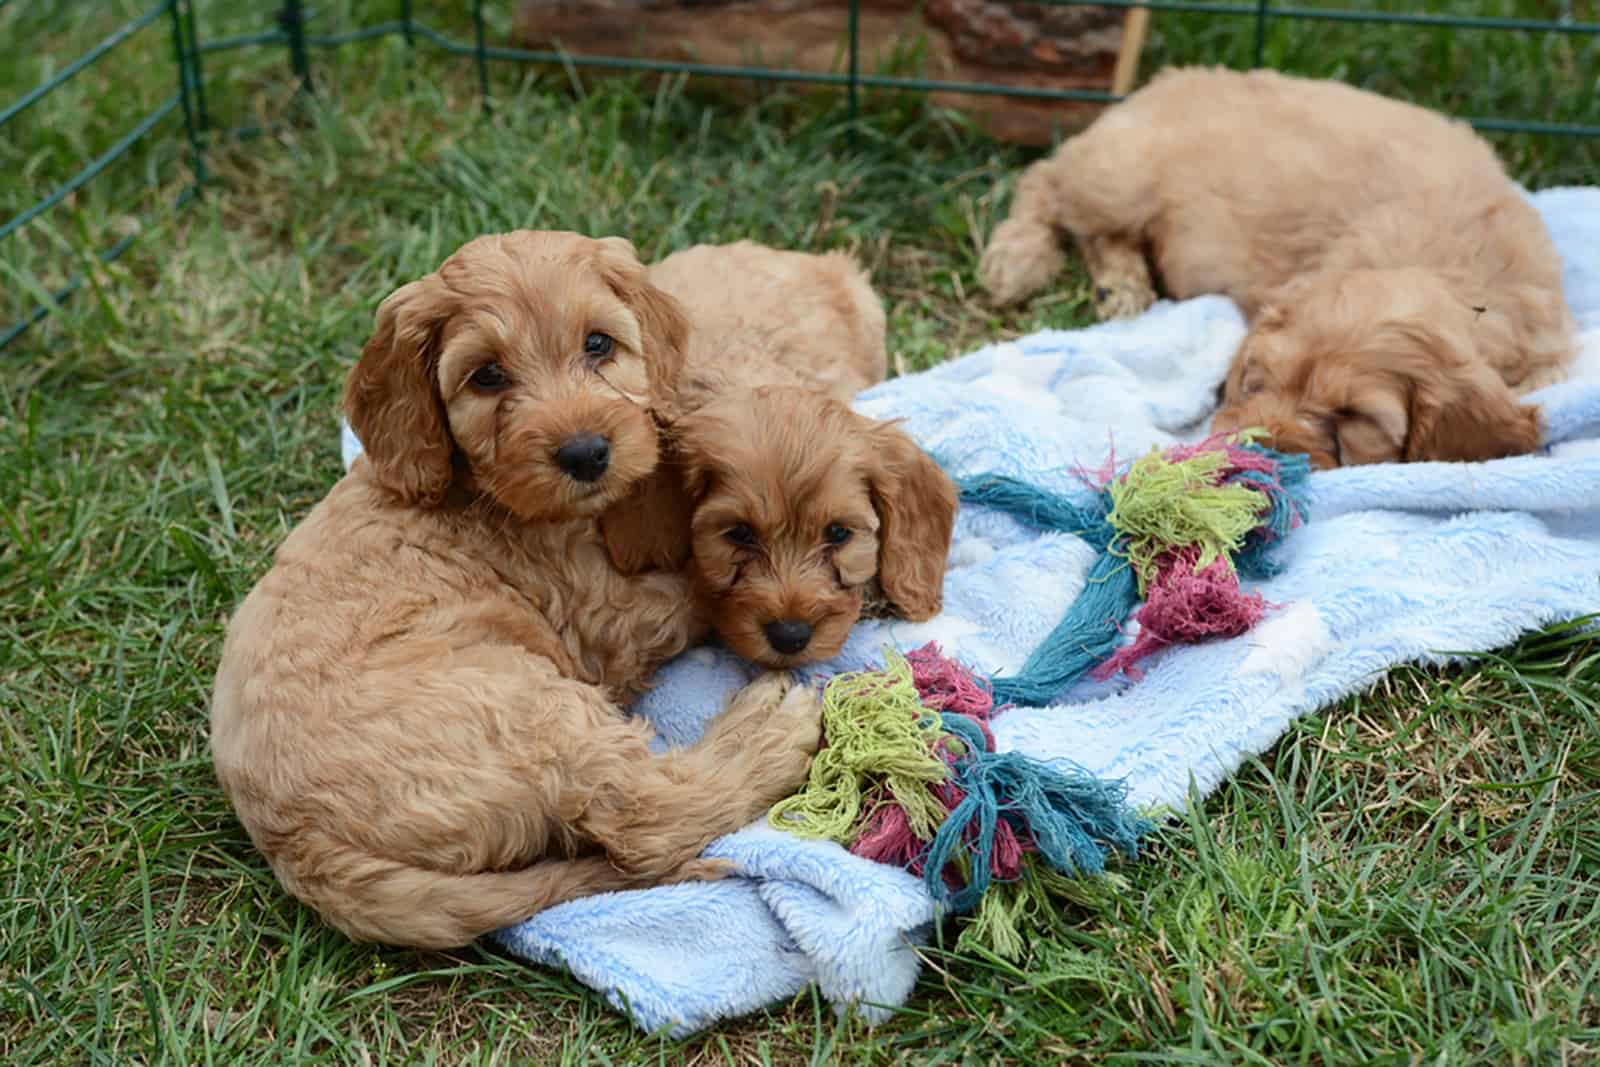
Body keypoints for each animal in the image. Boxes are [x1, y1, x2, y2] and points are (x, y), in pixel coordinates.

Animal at [972, 65, 1574, 467]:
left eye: (1355, 418)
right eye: (1258, 377)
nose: (1253, 448)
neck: (1440, 265)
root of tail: (1165, 79)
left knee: (1101, 234)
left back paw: (1121, 287)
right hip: (1118, 175)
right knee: (1046, 181)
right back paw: (1018, 257)